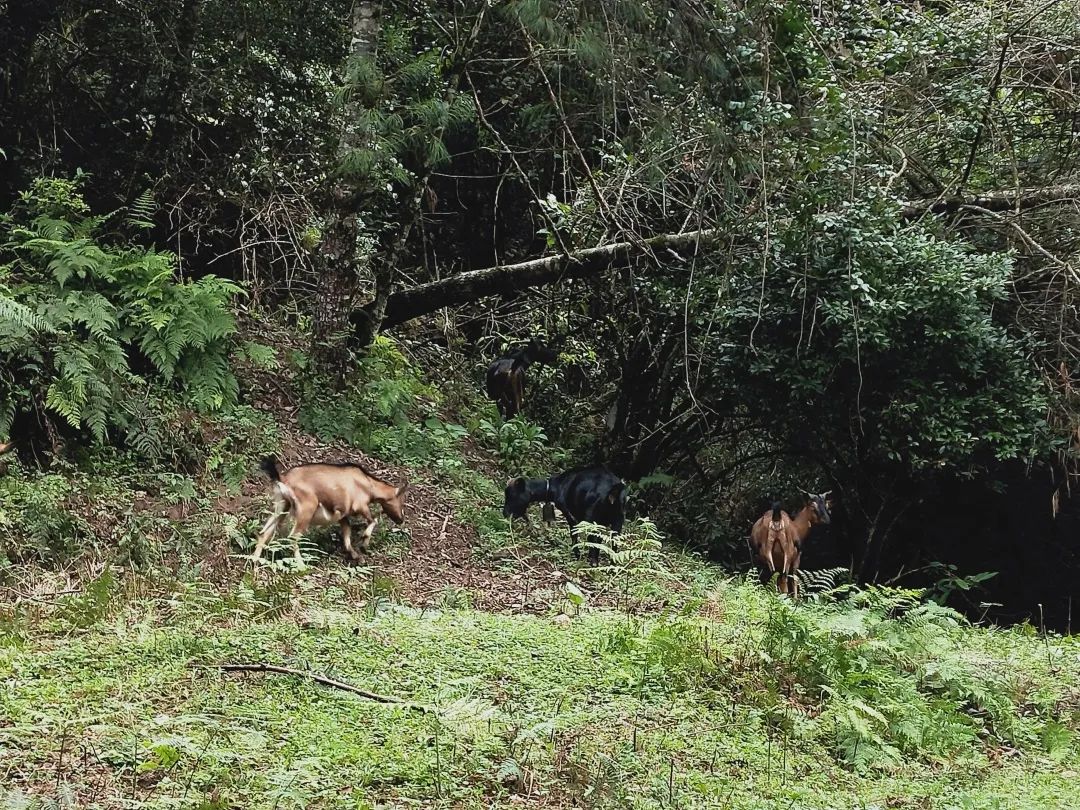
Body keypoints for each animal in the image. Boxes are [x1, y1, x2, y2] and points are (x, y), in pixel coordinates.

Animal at [252, 457, 408, 565]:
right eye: (401, 501)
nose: (401, 519)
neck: (368, 484)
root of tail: (283, 478)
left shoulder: (343, 514)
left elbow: (347, 533)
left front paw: (356, 555)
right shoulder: (360, 506)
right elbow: (373, 520)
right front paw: (364, 545)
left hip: (282, 506)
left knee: (264, 532)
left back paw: (254, 561)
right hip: (305, 510)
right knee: (293, 536)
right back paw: (301, 564)